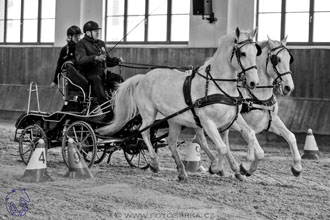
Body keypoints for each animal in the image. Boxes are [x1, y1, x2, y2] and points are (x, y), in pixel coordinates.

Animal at [96, 27, 264, 182]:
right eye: (243, 53)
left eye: (256, 52)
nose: (254, 83)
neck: (217, 85)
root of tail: (143, 77)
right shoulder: (208, 122)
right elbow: (222, 147)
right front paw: (217, 167)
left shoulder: (230, 119)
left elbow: (250, 135)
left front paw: (245, 167)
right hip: (149, 114)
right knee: (144, 133)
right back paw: (155, 163)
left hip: (174, 120)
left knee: (172, 142)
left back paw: (182, 172)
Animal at [217, 36, 302, 177]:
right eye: (277, 59)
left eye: (289, 59)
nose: (289, 87)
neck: (258, 96)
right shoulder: (242, 124)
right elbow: (259, 150)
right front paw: (246, 166)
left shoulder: (270, 121)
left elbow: (291, 136)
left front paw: (297, 167)